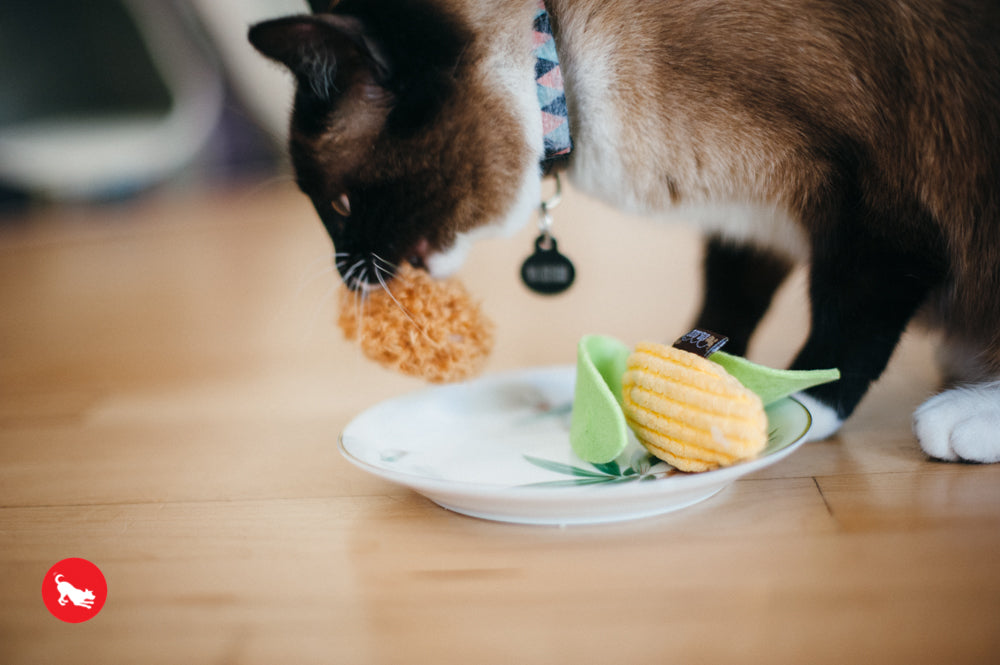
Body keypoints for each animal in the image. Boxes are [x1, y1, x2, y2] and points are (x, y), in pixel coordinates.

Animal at [248, 0, 1000, 464]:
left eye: (341, 204)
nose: (344, 271)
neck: (557, 66)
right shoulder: (752, 222)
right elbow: (725, 303)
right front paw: (686, 368)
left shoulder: (876, 215)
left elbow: (842, 333)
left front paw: (791, 403)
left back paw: (959, 418)